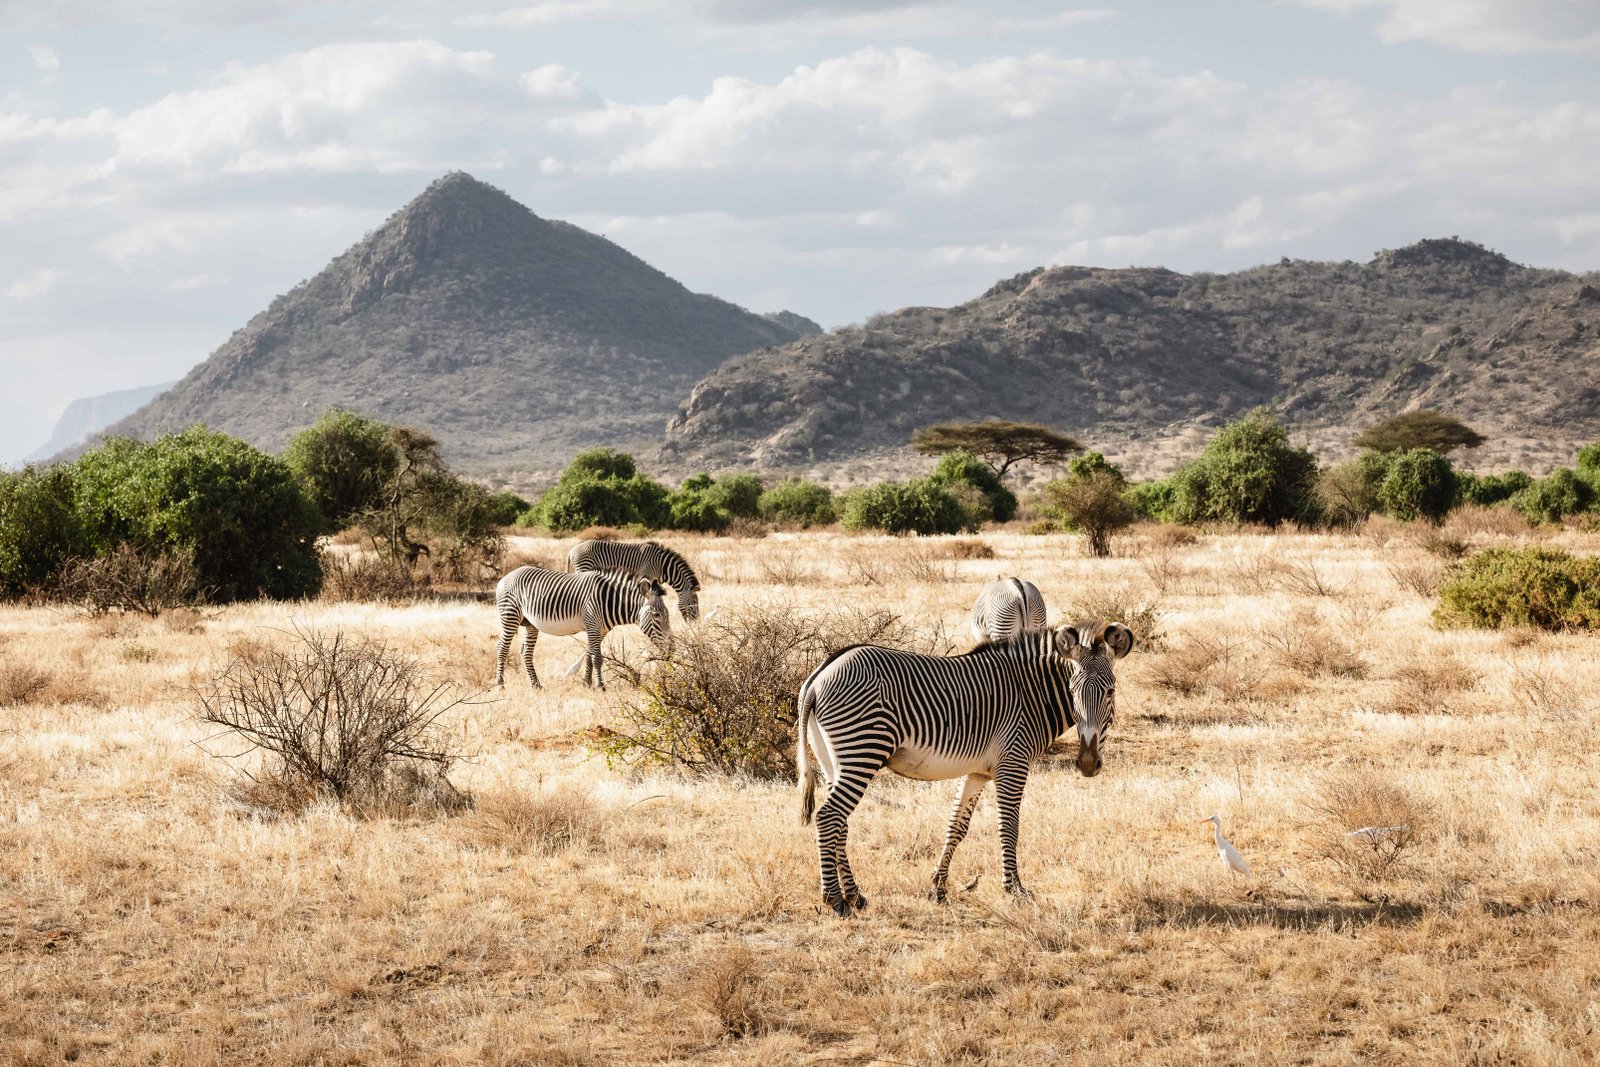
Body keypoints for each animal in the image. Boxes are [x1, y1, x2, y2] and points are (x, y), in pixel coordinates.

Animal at [494, 566, 671, 693]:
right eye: (656, 615)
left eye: (667, 614)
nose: (672, 649)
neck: (610, 600)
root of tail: (506, 577)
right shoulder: (592, 625)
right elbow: (597, 658)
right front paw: (600, 686)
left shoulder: (599, 630)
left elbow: (589, 655)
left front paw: (587, 683)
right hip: (510, 616)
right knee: (502, 649)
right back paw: (500, 685)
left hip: (530, 623)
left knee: (525, 652)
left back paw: (536, 685)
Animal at [568, 539, 701, 622]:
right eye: (695, 602)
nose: (695, 624)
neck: (662, 566)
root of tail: (572, 550)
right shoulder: (645, 575)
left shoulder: (653, 579)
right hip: (584, 567)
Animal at [796, 621, 1133, 916]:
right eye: (1072, 690)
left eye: (1110, 691)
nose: (1087, 764)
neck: (1030, 693)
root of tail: (820, 674)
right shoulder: (1013, 762)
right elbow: (1008, 826)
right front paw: (1014, 889)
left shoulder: (978, 772)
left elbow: (956, 826)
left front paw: (937, 887)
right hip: (863, 749)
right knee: (829, 817)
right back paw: (835, 900)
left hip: (833, 758)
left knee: (840, 821)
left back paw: (855, 895)